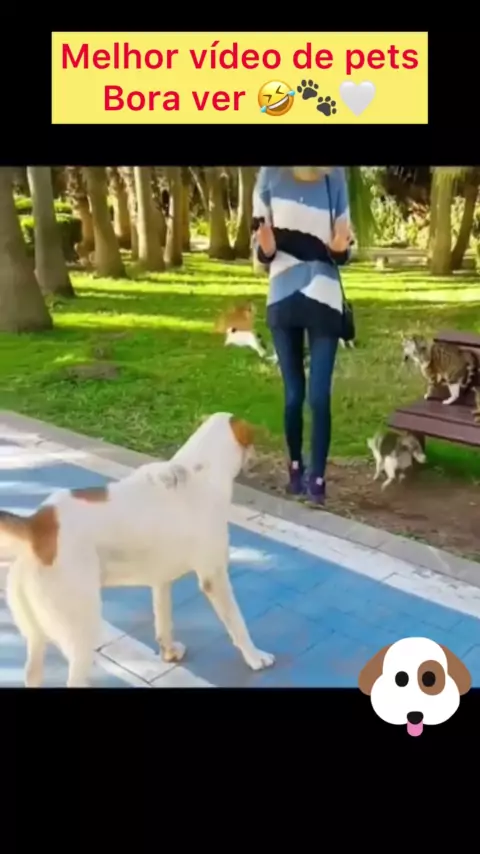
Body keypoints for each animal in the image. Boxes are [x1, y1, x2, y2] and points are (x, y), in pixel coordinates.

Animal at [1, 413, 275, 687]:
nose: (260, 458)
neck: (200, 471)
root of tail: (36, 525)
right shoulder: (214, 576)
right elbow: (238, 624)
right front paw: (255, 657)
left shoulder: (161, 580)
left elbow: (163, 619)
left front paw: (169, 652)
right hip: (82, 627)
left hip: (36, 635)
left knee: (32, 672)